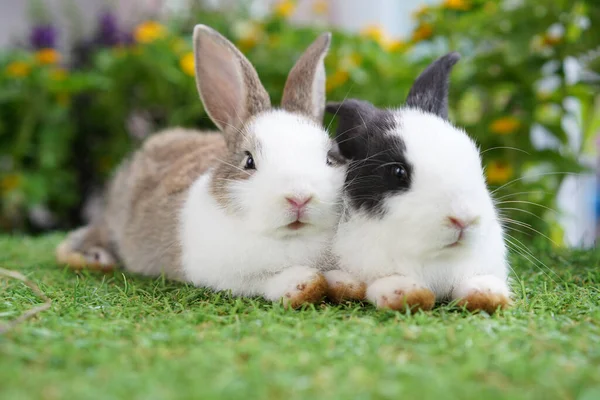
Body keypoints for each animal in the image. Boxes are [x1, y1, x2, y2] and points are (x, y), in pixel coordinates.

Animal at [56, 24, 350, 306]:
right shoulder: (222, 274)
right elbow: (263, 281)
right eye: (249, 161)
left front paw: (342, 283)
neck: (291, 238)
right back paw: (94, 257)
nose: (299, 198)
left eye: (329, 157)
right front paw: (302, 284)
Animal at [324, 53, 510, 314]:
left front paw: (488, 295)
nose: (463, 219)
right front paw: (408, 295)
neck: (437, 257)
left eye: (475, 160)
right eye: (398, 172)